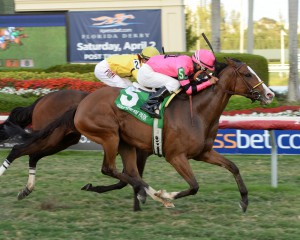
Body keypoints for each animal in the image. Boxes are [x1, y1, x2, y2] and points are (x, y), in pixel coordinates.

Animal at [74, 58, 274, 212]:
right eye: (247, 74)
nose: (270, 94)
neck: (196, 113)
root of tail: (84, 101)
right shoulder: (175, 156)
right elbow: (194, 186)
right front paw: (167, 196)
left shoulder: (204, 153)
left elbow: (233, 167)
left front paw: (244, 201)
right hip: (110, 136)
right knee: (109, 169)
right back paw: (149, 193)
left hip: (125, 143)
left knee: (130, 173)